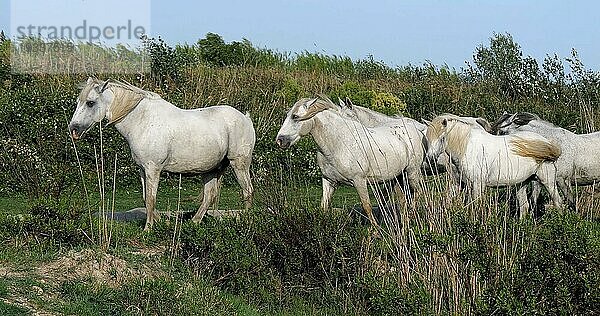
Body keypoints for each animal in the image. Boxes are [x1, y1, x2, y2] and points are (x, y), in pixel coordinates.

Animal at [68, 78, 255, 232]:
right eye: (78, 102)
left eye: (90, 103)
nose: (73, 130)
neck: (142, 121)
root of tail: (245, 118)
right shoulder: (143, 169)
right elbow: (146, 198)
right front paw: (161, 222)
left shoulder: (153, 169)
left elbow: (151, 198)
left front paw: (148, 228)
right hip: (210, 170)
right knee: (209, 196)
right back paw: (194, 222)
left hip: (239, 165)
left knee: (247, 191)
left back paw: (246, 222)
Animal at [274, 95, 424, 225]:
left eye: (295, 117)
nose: (280, 141)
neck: (339, 143)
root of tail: (414, 128)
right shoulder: (329, 181)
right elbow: (324, 206)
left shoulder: (359, 181)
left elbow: (367, 206)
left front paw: (375, 232)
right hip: (398, 177)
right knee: (403, 200)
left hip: (412, 172)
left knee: (418, 192)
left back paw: (411, 217)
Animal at [424, 113, 560, 212]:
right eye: (427, 137)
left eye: (442, 138)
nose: (430, 158)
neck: (468, 147)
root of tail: (547, 143)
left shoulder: (478, 184)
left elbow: (476, 206)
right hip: (521, 183)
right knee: (524, 206)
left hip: (548, 182)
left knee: (558, 203)